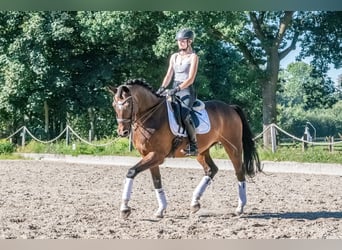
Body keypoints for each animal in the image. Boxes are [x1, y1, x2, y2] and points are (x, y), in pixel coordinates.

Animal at [108, 78, 260, 219]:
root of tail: (230, 107)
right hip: (202, 151)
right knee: (211, 169)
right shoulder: (148, 155)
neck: (151, 115)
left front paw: (124, 209)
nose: (122, 132)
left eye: (128, 104)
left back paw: (240, 208)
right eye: (114, 105)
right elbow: (156, 181)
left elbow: (131, 171)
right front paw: (161, 210)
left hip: (233, 147)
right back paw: (195, 203)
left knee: (239, 171)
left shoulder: (157, 155)